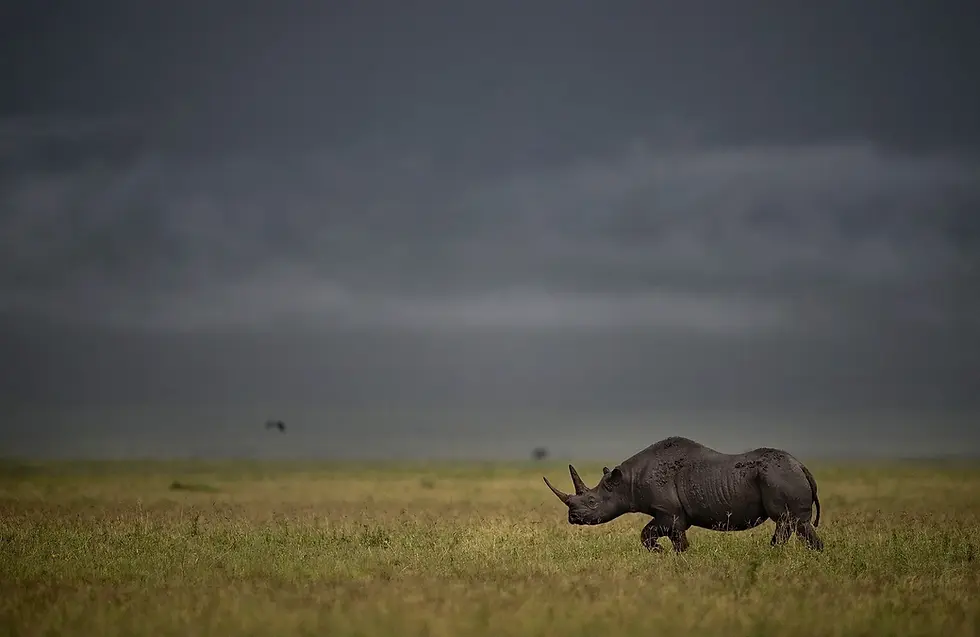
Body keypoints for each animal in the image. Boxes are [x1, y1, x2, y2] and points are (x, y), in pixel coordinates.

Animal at [543, 436, 823, 552]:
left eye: (592, 502)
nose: (572, 518)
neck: (627, 482)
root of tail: (801, 465)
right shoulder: (673, 515)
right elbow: (671, 538)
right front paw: (675, 555)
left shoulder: (669, 513)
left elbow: (649, 534)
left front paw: (662, 552)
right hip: (783, 475)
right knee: (798, 524)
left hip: (779, 476)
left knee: (788, 521)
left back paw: (774, 553)